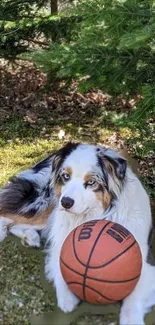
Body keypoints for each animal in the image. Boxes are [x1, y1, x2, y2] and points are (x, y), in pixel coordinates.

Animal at [0, 142, 155, 324]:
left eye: (91, 182)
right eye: (66, 176)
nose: (66, 202)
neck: (91, 216)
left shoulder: (144, 260)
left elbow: (134, 296)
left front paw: (131, 319)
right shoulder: (61, 242)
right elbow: (60, 266)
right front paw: (67, 299)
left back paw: (30, 237)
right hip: (46, 203)